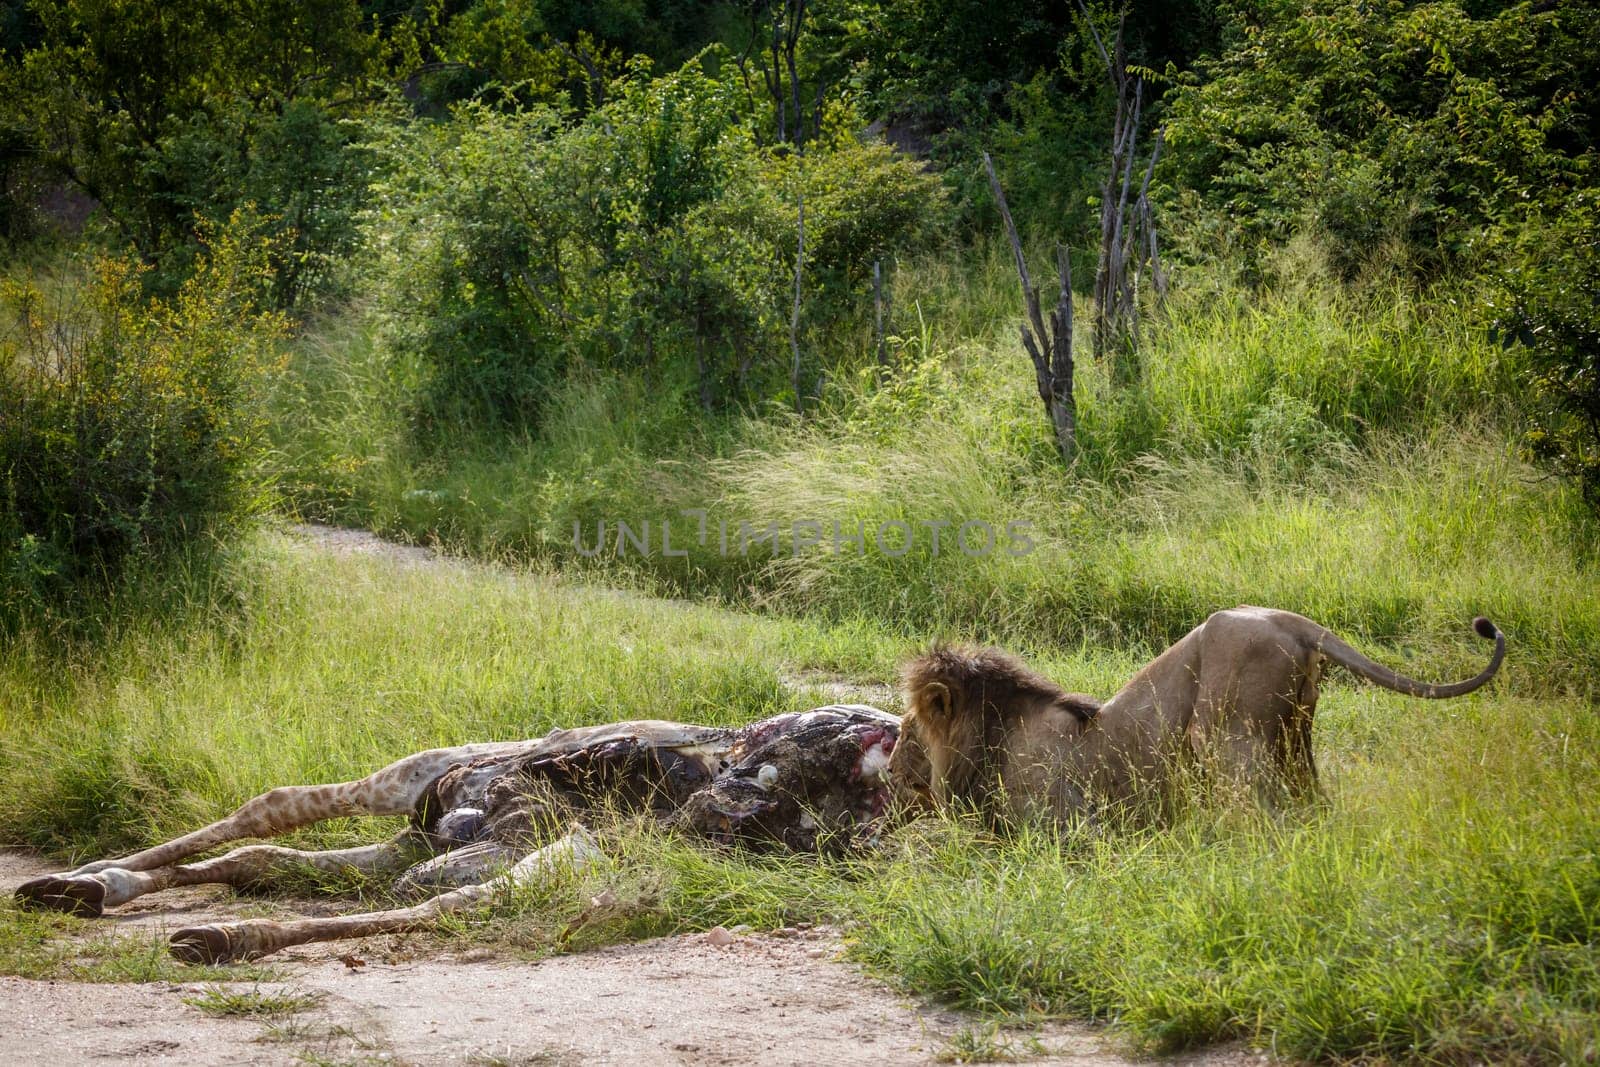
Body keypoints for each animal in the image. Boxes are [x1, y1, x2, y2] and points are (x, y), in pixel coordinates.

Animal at [896, 604, 1504, 825]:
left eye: (907, 728)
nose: (893, 763)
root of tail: (1300, 623)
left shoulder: (1062, 826)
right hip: (1295, 740)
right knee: (1310, 801)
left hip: (1223, 731)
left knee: (1264, 815)